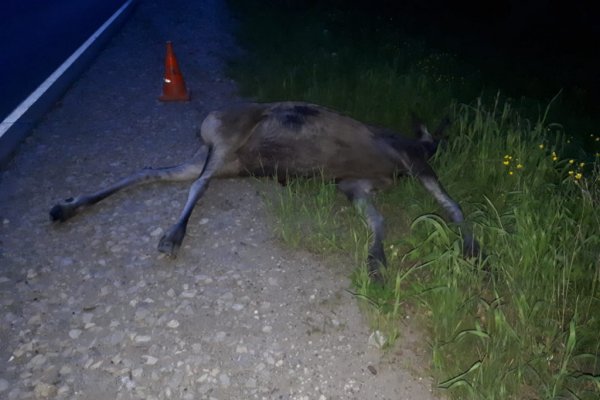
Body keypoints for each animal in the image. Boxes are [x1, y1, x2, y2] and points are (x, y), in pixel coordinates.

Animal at [52, 101, 482, 278]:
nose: (431, 141)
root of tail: (207, 122)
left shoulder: (356, 184)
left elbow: (380, 220)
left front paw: (376, 261)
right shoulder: (415, 162)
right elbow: (454, 206)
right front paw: (476, 250)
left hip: (223, 158)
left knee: (151, 171)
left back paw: (68, 206)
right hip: (230, 139)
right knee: (197, 184)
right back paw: (174, 235)